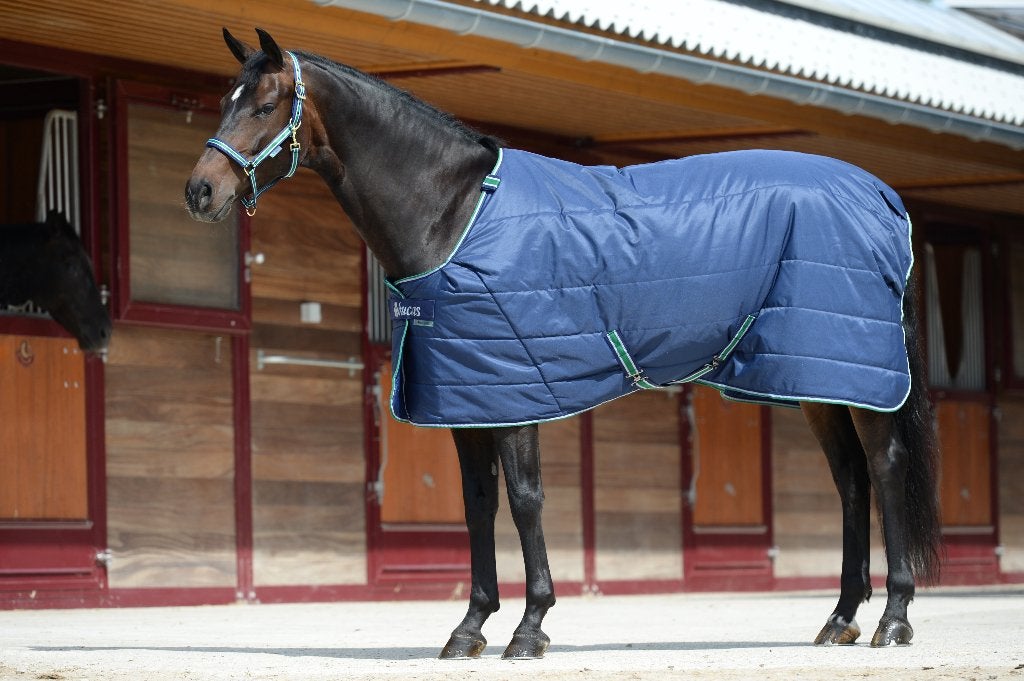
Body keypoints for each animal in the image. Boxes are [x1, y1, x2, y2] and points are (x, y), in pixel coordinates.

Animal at [185, 28, 942, 659]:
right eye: (224, 102)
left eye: (266, 105)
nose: (200, 192)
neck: (456, 212)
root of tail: (881, 194)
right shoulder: (467, 397)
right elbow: (477, 504)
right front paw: (469, 627)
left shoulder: (516, 387)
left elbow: (525, 499)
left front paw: (529, 626)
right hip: (815, 378)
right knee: (850, 482)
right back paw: (839, 618)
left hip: (854, 378)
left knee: (884, 469)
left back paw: (893, 619)